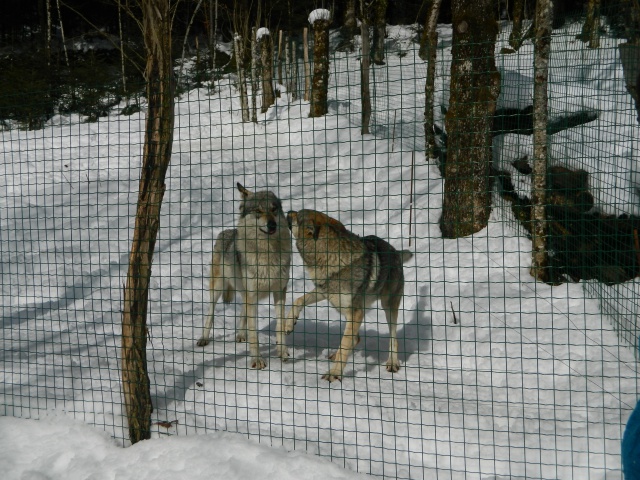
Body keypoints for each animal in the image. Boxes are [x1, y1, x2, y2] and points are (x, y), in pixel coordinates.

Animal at [198, 183, 292, 368]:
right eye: (258, 211)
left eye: (274, 209)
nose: (272, 225)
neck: (267, 253)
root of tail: (226, 232)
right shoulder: (252, 294)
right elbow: (254, 332)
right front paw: (257, 360)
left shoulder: (279, 292)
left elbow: (280, 325)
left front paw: (282, 353)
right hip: (217, 289)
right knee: (210, 313)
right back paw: (204, 338)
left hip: (243, 290)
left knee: (242, 310)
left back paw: (241, 334)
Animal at [286, 210, 416, 382]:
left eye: (297, 215)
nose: (288, 211)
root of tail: (395, 251)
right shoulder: (324, 292)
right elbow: (298, 300)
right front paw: (289, 324)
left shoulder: (356, 312)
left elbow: (345, 344)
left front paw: (334, 374)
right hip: (343, 309)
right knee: (355, 338)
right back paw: (334, 354)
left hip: (387, 307)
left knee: (393, 339)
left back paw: (393, 363)